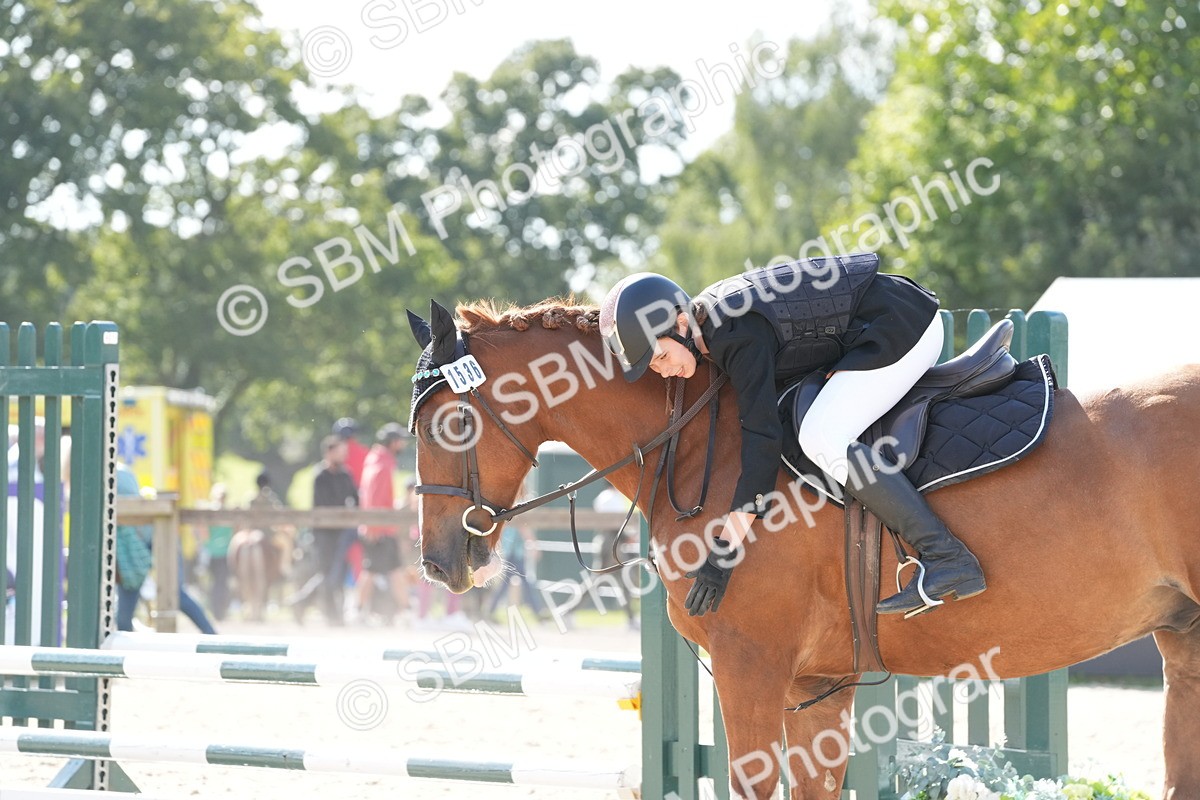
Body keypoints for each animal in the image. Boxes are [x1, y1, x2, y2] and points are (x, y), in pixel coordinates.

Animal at [407, 298, 1200, 799]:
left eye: (448, 424)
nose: (440, 563)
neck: (698, 438)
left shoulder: (750, 665)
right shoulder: (816, 685)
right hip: (1184, 636)